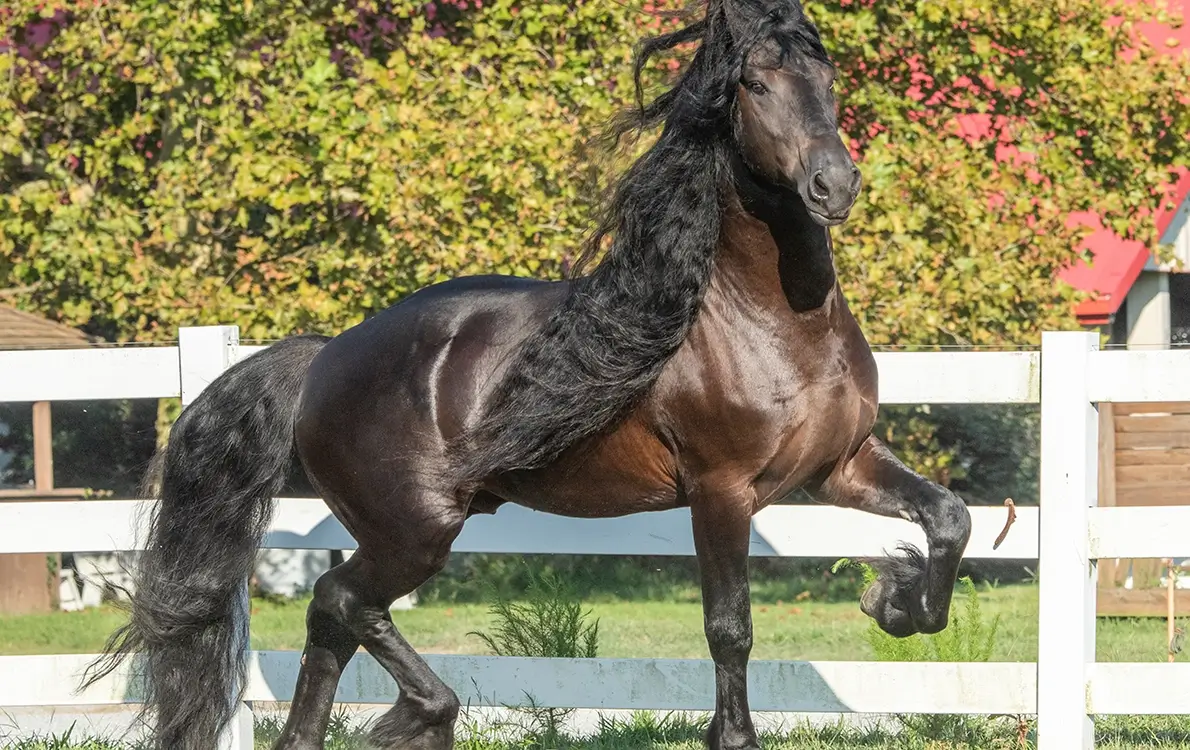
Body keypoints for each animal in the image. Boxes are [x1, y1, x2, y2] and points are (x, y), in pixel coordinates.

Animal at [88, 1, 971, 750]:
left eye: (829, 79)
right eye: (753, 84)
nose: (834, 185)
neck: (774, 323)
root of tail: (324, 360)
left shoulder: (838, 466)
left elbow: (950, 519)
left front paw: (894, 601)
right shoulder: (721, 491)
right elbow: (731, 627)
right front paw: (736, 736)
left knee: (335, 619)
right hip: (416, 528)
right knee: (338, 600)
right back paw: (420, 715)